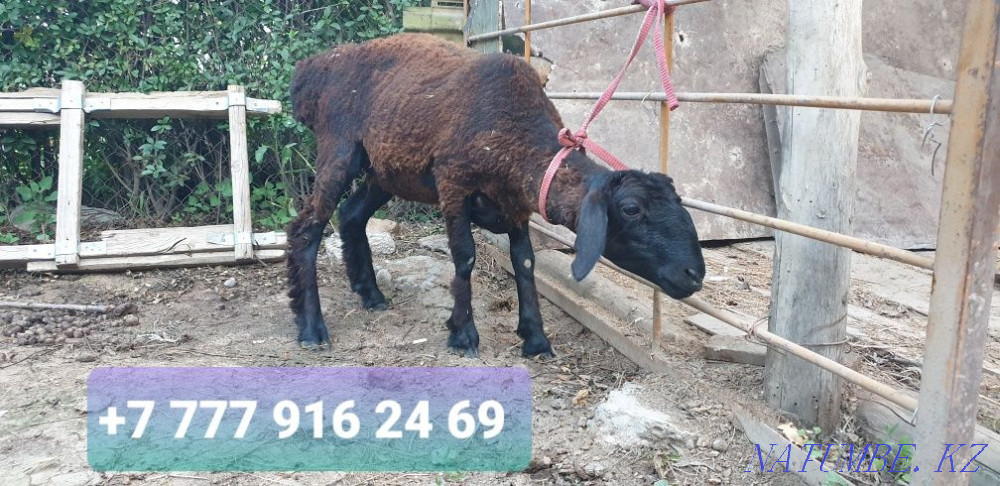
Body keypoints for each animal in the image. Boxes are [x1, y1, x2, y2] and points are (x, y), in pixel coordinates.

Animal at [287, 33, 705, 358]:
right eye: (631, 209)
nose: (694, 274)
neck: (514, 131)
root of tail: (313, 70)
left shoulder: (515, 204)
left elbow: (525, 262)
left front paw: (535, 338)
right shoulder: (453, 182)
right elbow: (466, 258)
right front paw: (463, 334)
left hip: (384, 170)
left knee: (351, 215)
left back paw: (370, 294)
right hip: (340, 148)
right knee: (307, 228)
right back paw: (311, 328)